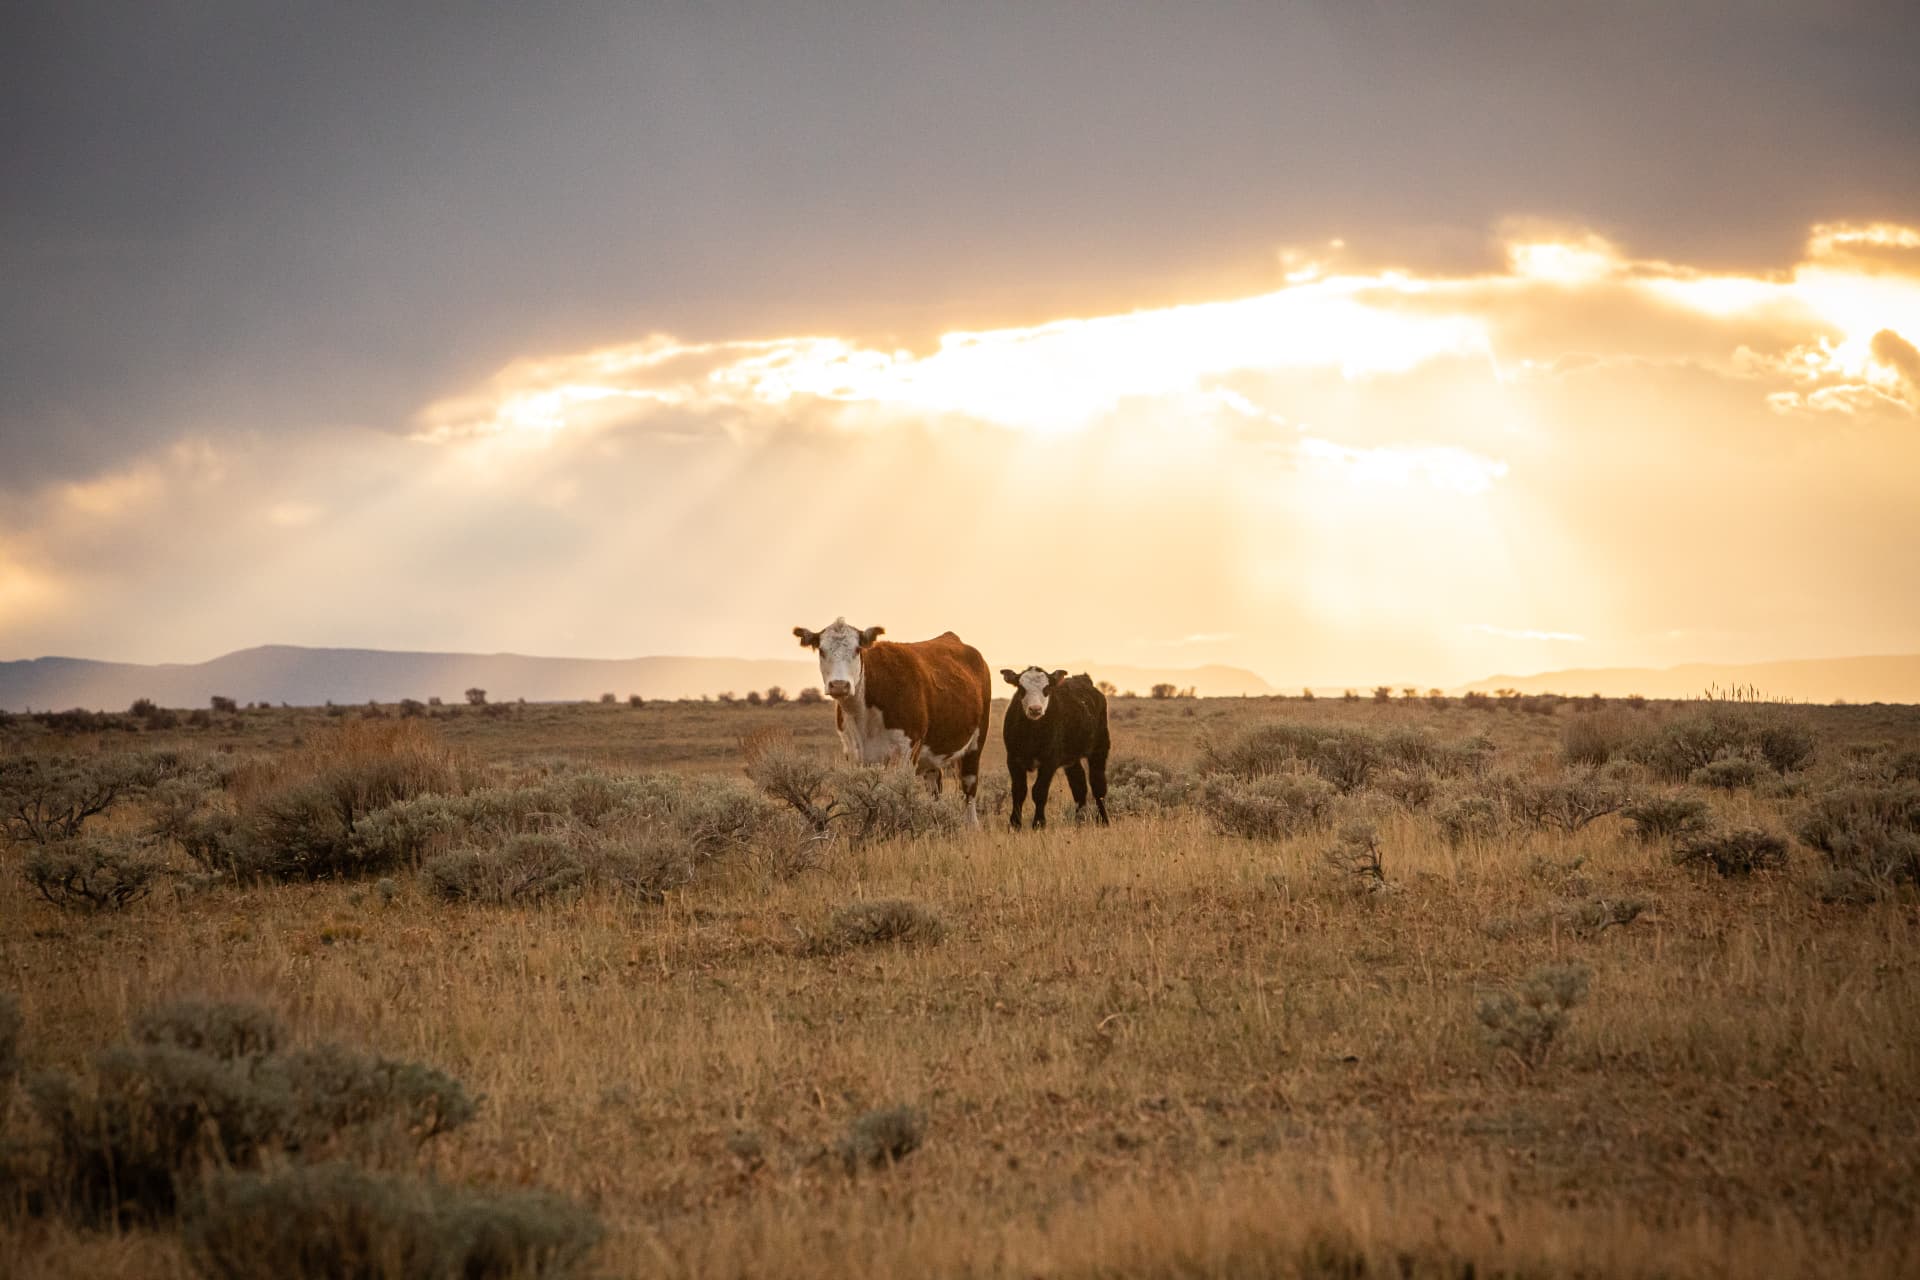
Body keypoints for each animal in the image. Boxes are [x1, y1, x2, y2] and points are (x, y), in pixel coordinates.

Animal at [793, 618, 993, 826]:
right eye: (822, 650)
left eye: (857, 649)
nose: (839, 685)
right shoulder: (854, 752)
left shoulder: (906, 749)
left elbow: (897, 794)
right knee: (934, 786)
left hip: (976, 742)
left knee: (969, 785)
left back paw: (972, 825)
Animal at [1001, 666, 1111, 830]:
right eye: (1021, 688)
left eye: (1046, 688)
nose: (1035, 709)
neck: (1032, 733)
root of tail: (1085, 680)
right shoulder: (1013, 759)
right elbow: (1019, 791)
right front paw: (1014, 824)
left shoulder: (1049, 761)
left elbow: (1039, 791)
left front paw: (1039, 823)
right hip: (1072, 759)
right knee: (1079, 786)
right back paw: (1080, 820)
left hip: (1099, 749)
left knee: (1098, 786)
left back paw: (1103, 820)